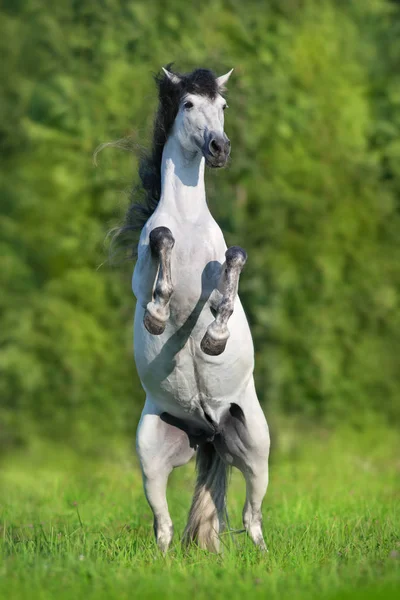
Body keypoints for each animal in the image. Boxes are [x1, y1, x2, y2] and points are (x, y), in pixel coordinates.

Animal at [126, 67, 268, 552]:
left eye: (222, 106)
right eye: (187, 104)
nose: (219, 148)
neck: (188, 220)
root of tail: (208, 430)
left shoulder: (222, 264)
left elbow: (234, 264)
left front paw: (214, 339)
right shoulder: (140, 275)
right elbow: (161, 240)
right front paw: (157, 317)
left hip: (256, 445)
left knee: (252, 517)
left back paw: (262, 557)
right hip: (150, 451)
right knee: (164, 525)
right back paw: (165, 560)